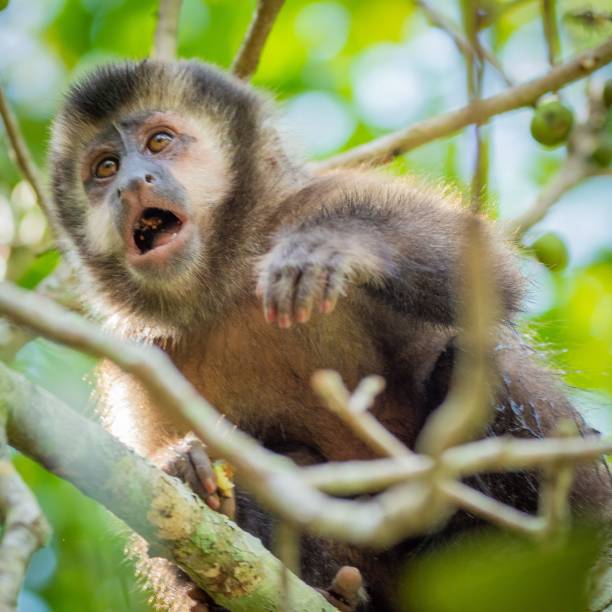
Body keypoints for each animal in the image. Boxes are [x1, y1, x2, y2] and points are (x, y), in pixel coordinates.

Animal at [50, 61, 608, 612]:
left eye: (159, 141)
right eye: (104, 168)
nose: (130, 183)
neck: (227, 289)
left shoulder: (319, 199)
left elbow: (488, 279)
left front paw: (337, 244)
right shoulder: (139, 352)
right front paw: (192, 474)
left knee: (482, 361)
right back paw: (341, 591)